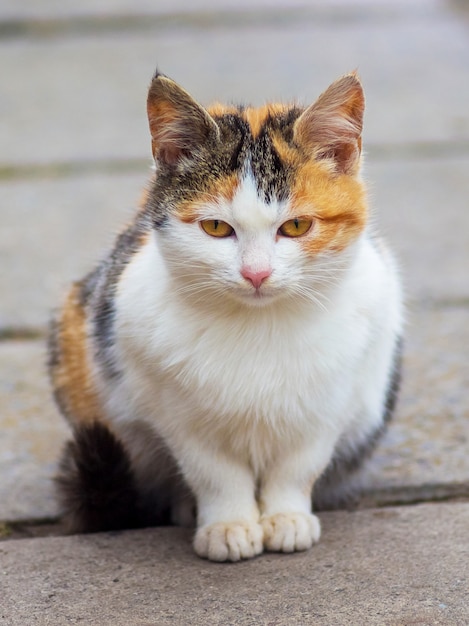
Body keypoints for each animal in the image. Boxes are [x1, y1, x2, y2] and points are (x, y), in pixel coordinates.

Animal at [50, 68, 402, 560]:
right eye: (216, 227)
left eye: (296, 226)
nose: (256, 273)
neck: (258, 325)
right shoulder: (177, 411)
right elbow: (214, 472)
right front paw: (228, 525)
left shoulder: (329, 404)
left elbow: (298, 466)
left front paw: (286, 517)